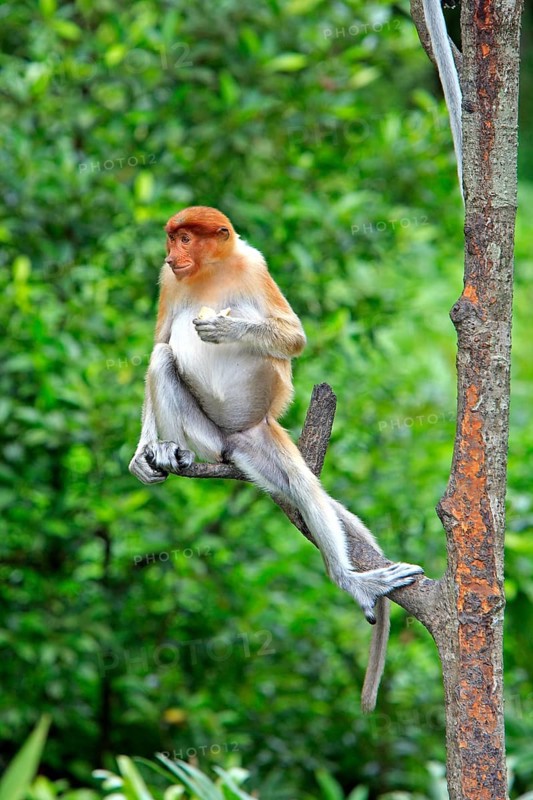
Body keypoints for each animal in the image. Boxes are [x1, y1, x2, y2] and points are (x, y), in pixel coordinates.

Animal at [129, 206, 424, 711]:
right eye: (173, 240)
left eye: (185, 238)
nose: (171, 255)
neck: (212, 271)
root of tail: (235, 439)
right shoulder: (169, 282)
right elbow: (162, 339)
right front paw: (141, 455)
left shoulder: (254, 267)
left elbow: (294, 338)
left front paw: (229, 328)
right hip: (208, 434)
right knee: (163, 358)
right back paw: (169, 450)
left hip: (260, 436)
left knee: (304, 486)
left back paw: (352, 581)